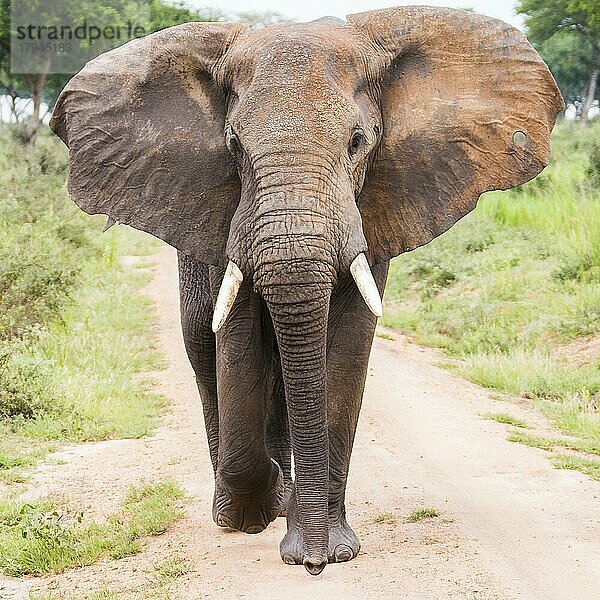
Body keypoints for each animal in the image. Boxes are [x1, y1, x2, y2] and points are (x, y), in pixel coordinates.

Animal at [50, 5, 564, 576]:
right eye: (234, 147)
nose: (313, 565)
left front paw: (332, 548)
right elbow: (236, 342)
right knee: (202, 345)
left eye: (358, 143)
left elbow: (348, 347)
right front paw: (272, 507)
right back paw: (239, 512)